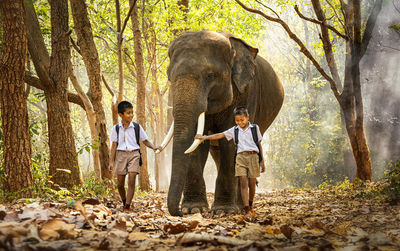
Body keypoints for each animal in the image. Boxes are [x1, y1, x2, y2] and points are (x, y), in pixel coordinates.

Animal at [159, 30, 284, 216]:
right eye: (169, 77)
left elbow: (230, 142)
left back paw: (240, 207)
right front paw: (194, 209)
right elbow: (198, 147)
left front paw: (222, 211)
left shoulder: (246, 91)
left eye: (210, 76)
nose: (179, 212)